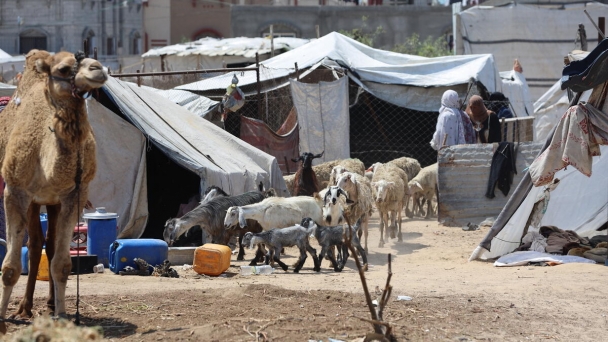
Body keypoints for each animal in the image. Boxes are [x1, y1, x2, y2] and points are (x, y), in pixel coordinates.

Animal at [0, 49, 107, 332]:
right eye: (63, 69)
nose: (98, 69)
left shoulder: (73, 194)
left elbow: (62, 264)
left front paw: (62, 316)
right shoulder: (15, 190)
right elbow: (10, 267)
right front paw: (2, 323)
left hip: (51, 201)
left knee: (47, 243)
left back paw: (47, 305)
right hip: (33, 201)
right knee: (36, 243)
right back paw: (24, 307)